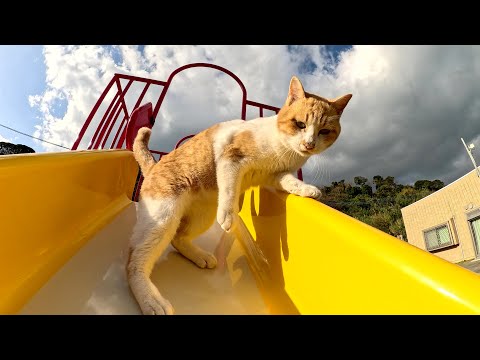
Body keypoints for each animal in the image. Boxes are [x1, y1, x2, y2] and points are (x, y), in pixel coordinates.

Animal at [127, 76, 352, 316]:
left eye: (324, 131)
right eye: (300, 124)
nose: (309, 144)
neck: (283, 150)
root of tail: (154, 166)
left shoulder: (276, 175)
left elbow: (290, 182)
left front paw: (306, 189)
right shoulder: (232, 158)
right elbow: (229, 189)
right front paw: (228, 215)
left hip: (202, 217)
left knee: (177, 238)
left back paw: (200, 256)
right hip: (163, 217)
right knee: (134, 260)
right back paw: (151, 300)